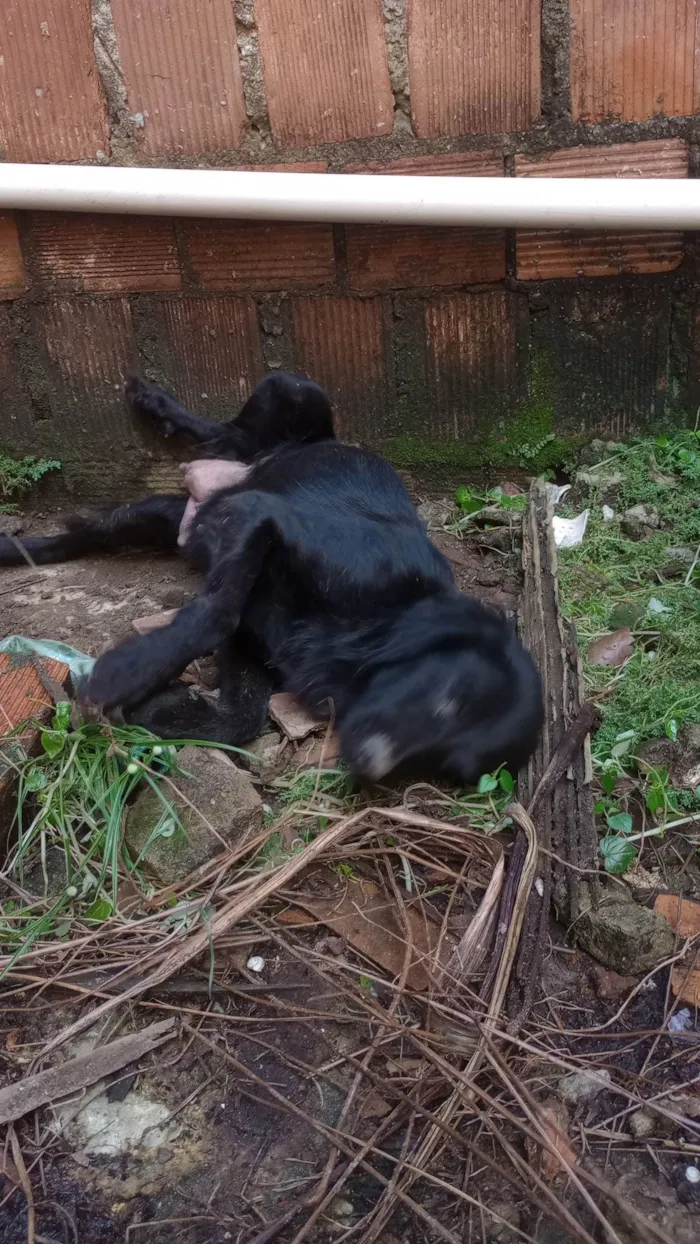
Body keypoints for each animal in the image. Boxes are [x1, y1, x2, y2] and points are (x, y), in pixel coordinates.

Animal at [0, 368, 542, 781]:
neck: (385, 617)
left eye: (449, 766)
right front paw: (126, 674)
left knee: (87, 533)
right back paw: (153, 400)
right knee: (218, 429)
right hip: (295, 391)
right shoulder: (261, 517)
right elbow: (215, 612)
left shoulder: (254, 639)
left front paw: (164, 711)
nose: (369, 765)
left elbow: (243, 715)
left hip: (163, 519)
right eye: (447, 699)